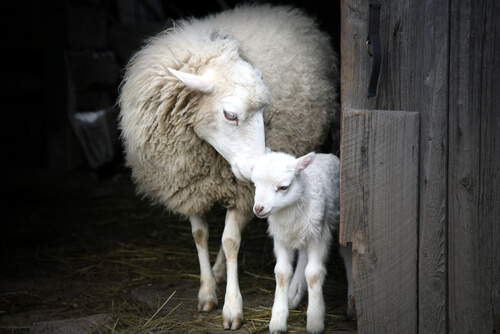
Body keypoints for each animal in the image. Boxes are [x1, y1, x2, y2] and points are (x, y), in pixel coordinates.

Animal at [250, 152, 352, 334]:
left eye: (283, 187)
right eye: (255, 184)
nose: (259, 208)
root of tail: (327, 155)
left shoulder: (319, 234)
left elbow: (313, 274)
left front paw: (315, 320)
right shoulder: (281, 237)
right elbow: (282, 273)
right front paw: (277, 320)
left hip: (340, 221)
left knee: (347, 254)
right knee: (303, 256)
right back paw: (294, 293)